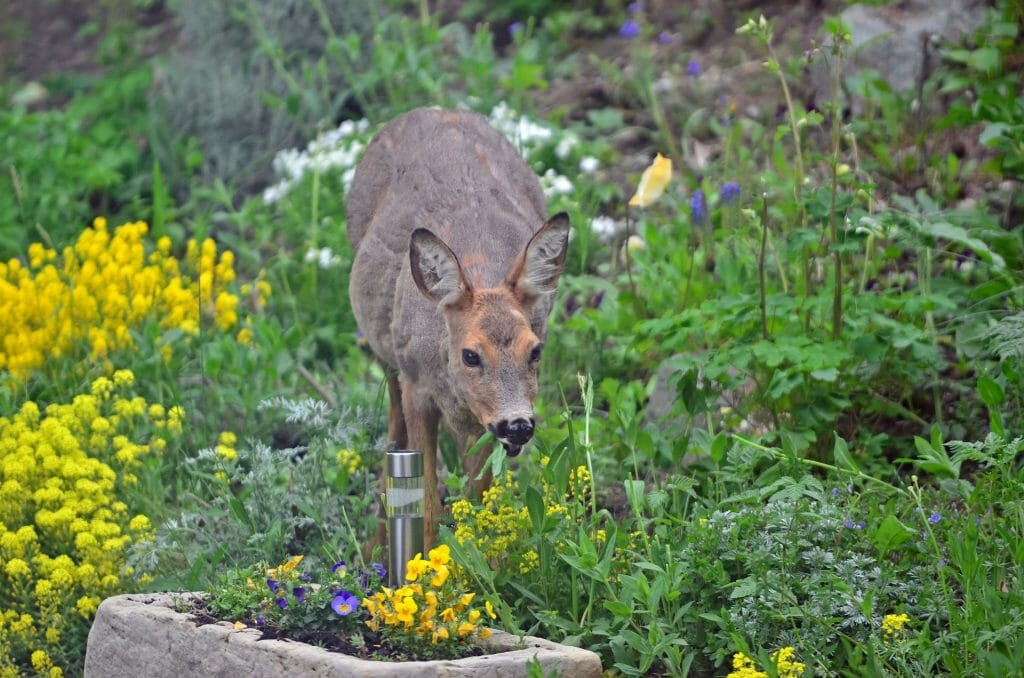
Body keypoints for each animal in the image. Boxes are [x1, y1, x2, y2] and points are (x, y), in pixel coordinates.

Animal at [344, 107, 569, 553]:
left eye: (535, 350)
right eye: (470, 354)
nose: (518, 424)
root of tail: (433, 109)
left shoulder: (479, 421)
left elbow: (481, 501)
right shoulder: (418, 387)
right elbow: (428, 501)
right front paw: (427, 562)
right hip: (388, 356)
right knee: (391, 431)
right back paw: (375, 545)